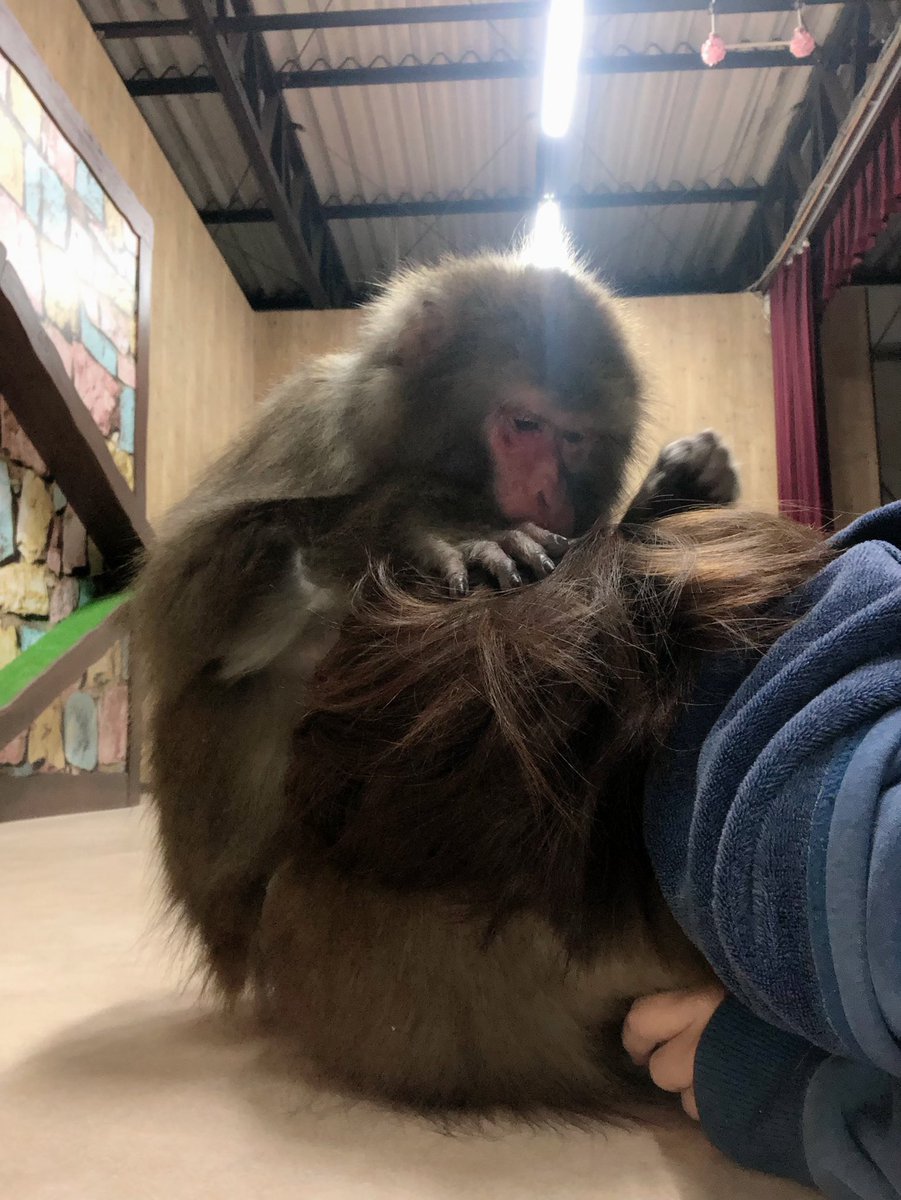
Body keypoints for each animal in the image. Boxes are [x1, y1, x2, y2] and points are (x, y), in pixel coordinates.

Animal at [134, 251, 738, 1005]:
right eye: (524, 424)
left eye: (572, 437)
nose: (547, 492)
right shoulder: (306, 419)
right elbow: (183, 607)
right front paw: (428, 519)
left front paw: (676, 491)